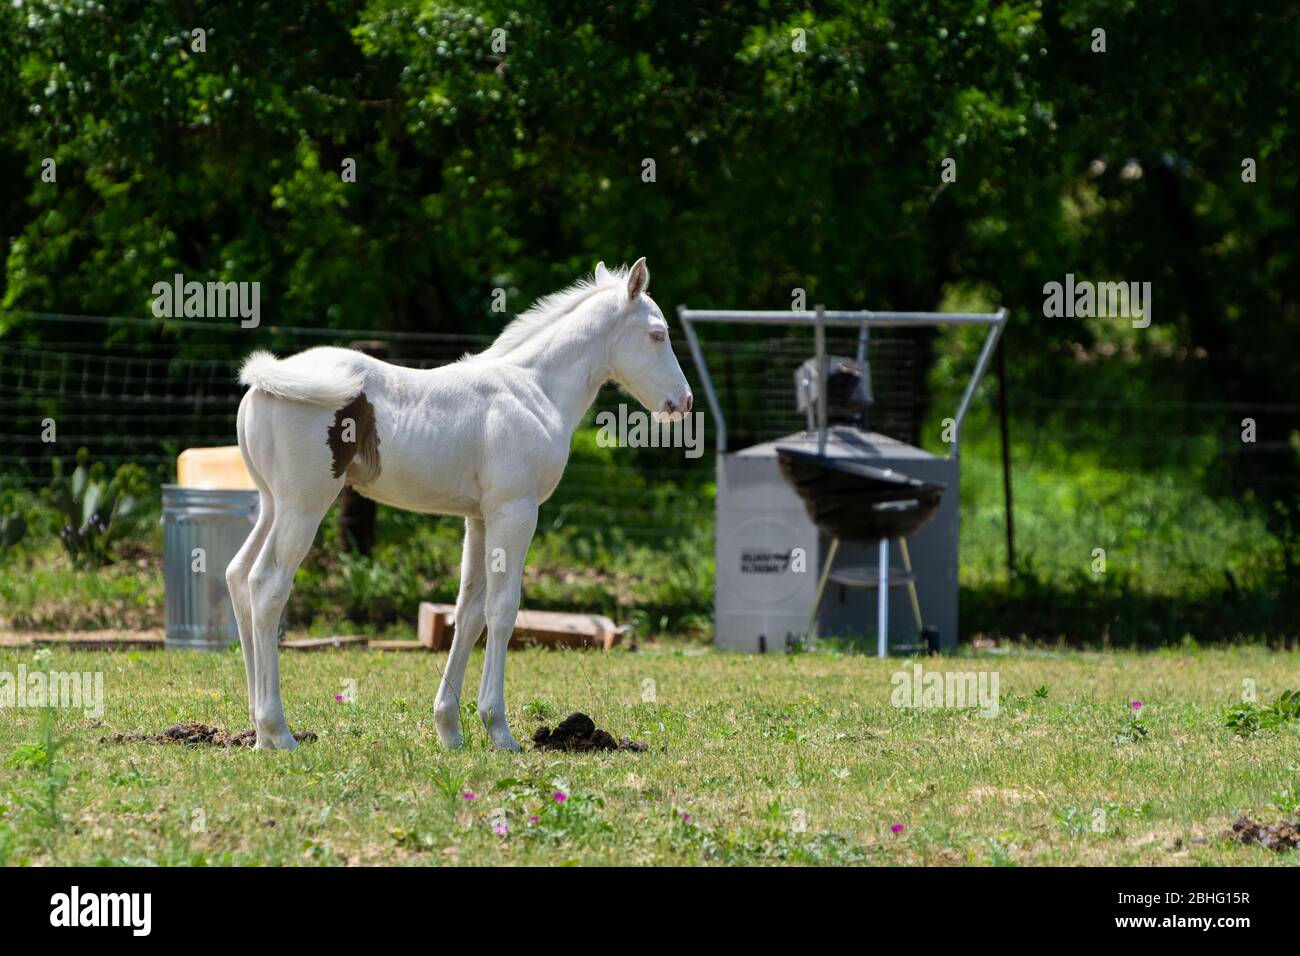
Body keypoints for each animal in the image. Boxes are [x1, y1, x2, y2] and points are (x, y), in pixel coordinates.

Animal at [226, 257, 691, 749]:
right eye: (657, 334)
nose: (684, 401)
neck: (535, 389)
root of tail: (266, 381)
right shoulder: (515, 511)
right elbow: (502, 610)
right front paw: (499, 730)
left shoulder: (479, 518)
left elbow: (467, 611)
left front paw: (449, 728)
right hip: (304, 506)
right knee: (268, 585)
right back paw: (279, 730)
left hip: (271, 504)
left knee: (238, 576)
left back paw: (259, 733)